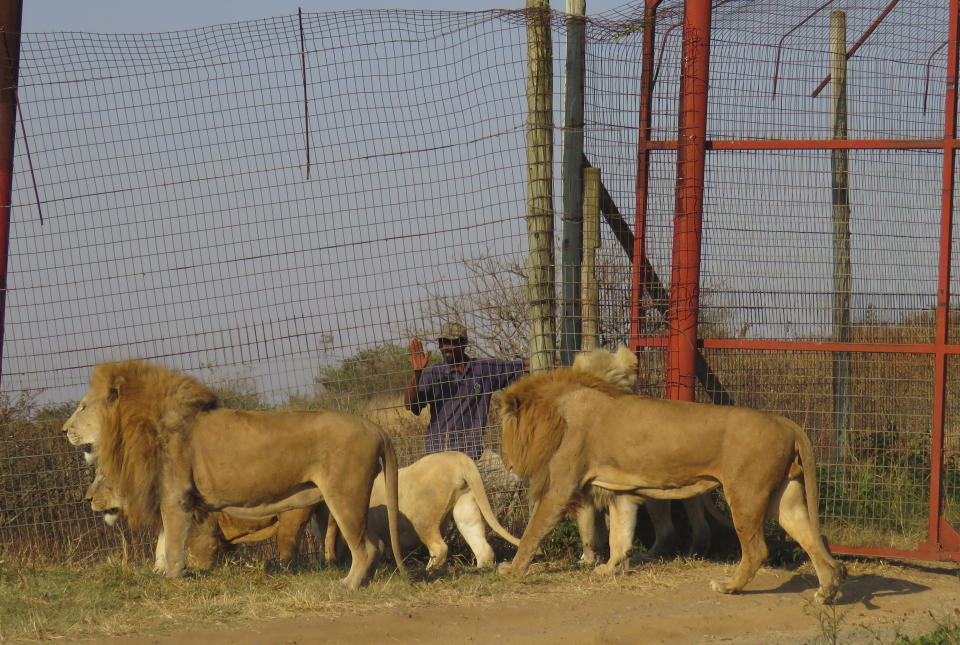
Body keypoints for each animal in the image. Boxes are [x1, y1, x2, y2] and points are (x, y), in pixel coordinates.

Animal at [63, 358, 408, 588]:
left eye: (82, 407)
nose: (64, 429)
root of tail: (373, 426)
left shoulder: (176, 497)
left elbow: (173, 543)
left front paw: (171, 578)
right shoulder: (170, 497)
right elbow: (162, 541)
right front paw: (157, 573)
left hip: (344, 495)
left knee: (366, 547)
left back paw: (347, 585)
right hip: (345, 501)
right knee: (372, 543)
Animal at [496, 368, 848, 604]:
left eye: (503, 428)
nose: (506, 464)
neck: (560, 410)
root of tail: (786, 422)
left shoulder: (561, 488)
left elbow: (532, 533)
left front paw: (511, 570)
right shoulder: (622, 491)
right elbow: (619, 536)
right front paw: (610, 570)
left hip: (745, 494)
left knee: (757, 550)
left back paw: (728, 587)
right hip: (783, 497)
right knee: (811, 539)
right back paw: (827, 591)